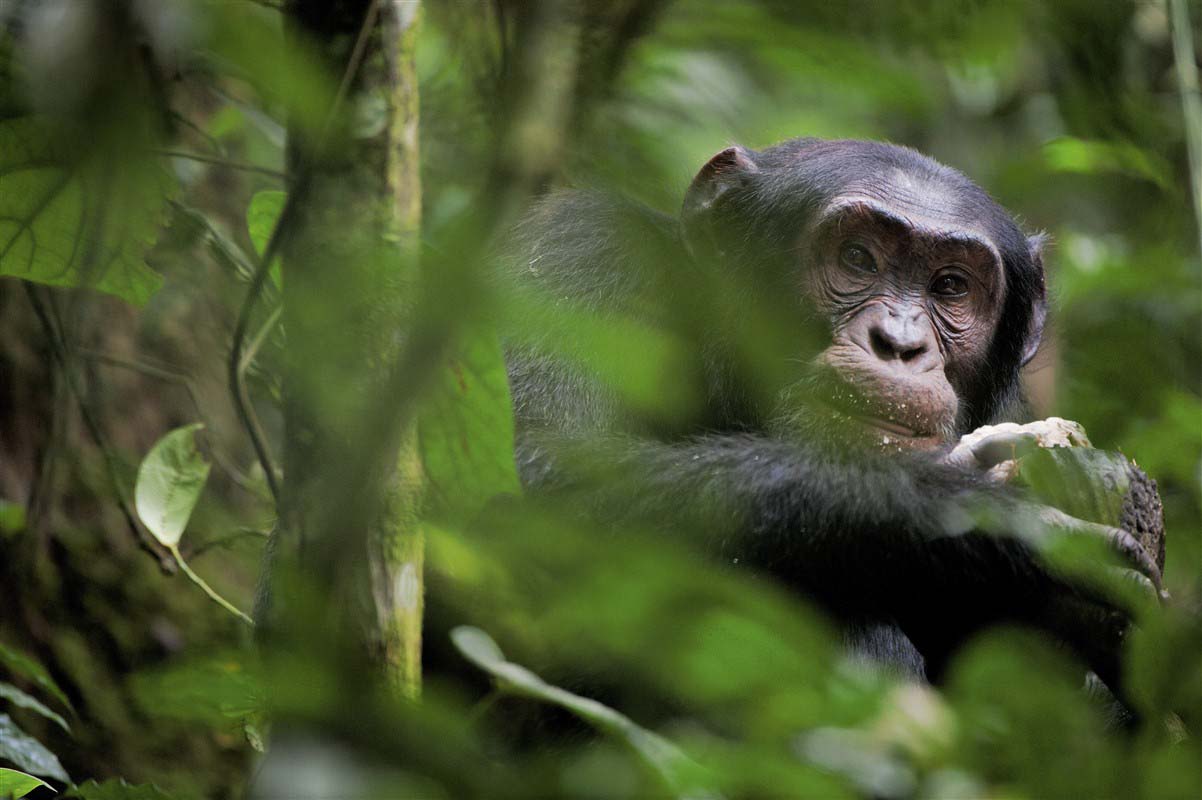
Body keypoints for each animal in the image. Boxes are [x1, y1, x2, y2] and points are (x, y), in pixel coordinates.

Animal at [502, 139, 1158, 696]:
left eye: (950, 286)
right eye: (857, 257)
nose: (899, 342)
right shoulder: (580, 255)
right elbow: (533, 477)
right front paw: (982, 519)